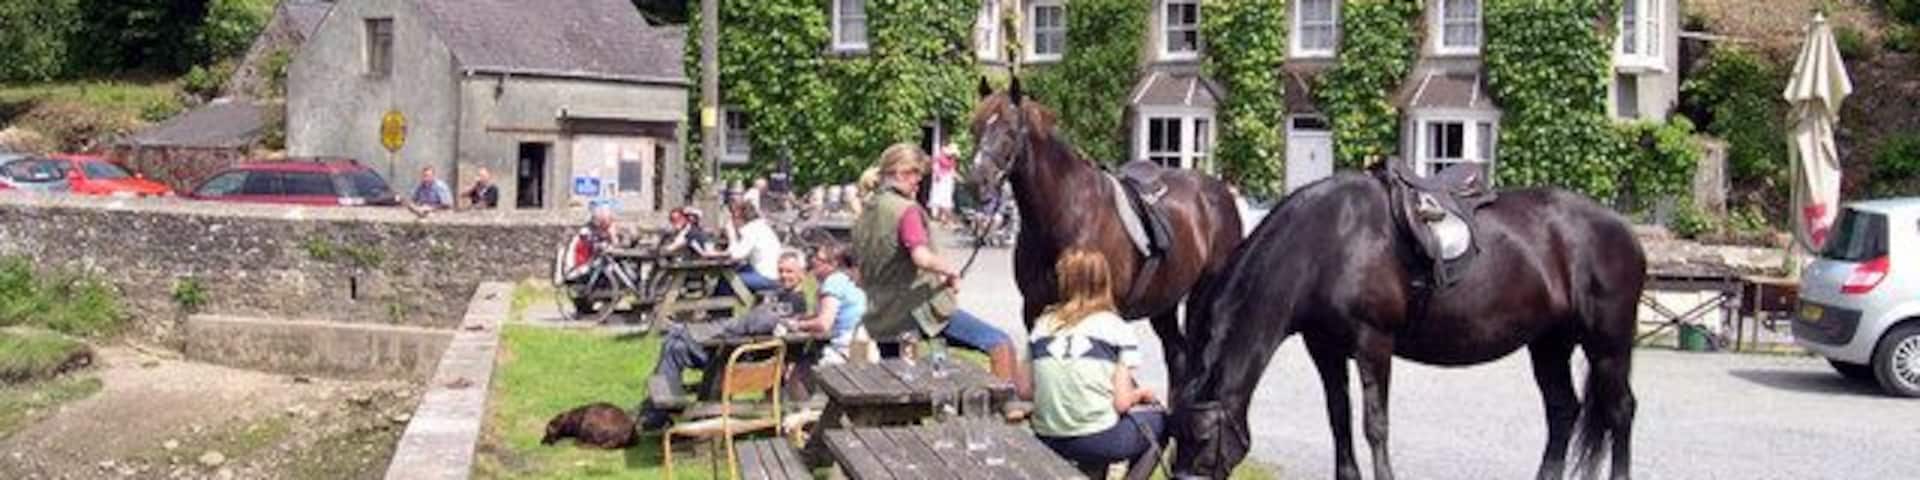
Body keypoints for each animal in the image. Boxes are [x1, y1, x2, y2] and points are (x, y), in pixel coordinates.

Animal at [967, 77, 1243, 384]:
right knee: (1177, 357)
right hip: (1165, 301)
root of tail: (1220, 192)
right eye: (975, 127)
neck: (1065, 213)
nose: (977, 182)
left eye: (1010, 130)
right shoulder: (1034, 309)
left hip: (1201, 298)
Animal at [1168, 170, 1646, 480]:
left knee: (1620, 411)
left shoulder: (1373, 342)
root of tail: (1623, 229)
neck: (1325, 243)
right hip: (1549, 344)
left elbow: (1374, 424)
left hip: (1608, 345)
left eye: (1202, 440)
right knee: (1562, 410)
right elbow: (1338, 417)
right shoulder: (1323, 347)